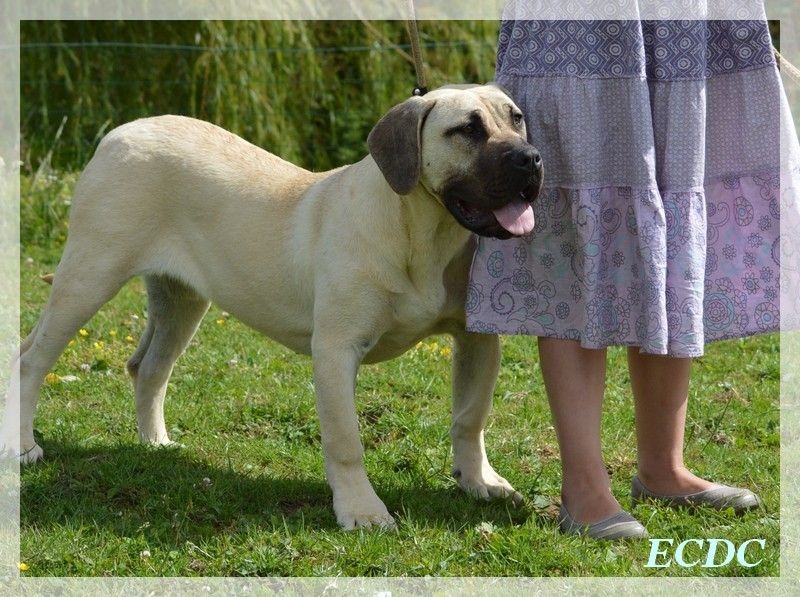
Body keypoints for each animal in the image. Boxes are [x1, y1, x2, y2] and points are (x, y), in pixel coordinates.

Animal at [2, 84, 542, 529]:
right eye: (467, 129)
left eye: (517, 119)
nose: (531, 159)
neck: (426, 234)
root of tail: (120, 133)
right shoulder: (336, 350)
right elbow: (345, 442)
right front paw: (362, 511)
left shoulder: (476, 339)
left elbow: (471, 418)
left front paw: (480, 482)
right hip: (89, 276)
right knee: (30, 359)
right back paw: (22, 446)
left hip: (181, 300)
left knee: (148, 367)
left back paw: (156, 443)